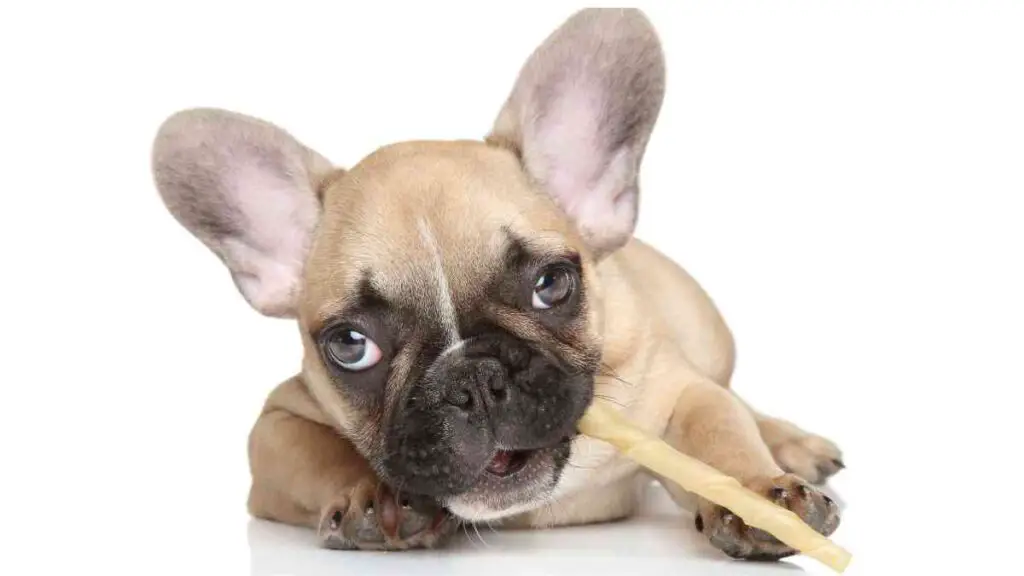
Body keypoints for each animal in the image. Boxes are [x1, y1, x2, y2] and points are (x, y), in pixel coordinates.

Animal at [149, 6, 839, 557]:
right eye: (350, 345)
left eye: (552, 285)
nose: (475, 379)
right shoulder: (275, 425)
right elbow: (318, 450)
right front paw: (375, 496)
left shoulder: (674, 391)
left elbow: (717, 432)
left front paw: (758, 494)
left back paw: (793, 445)